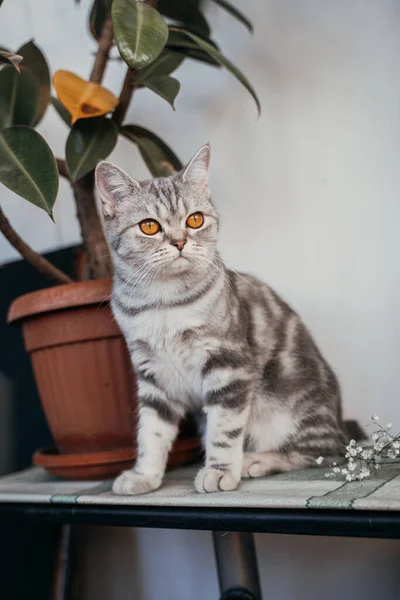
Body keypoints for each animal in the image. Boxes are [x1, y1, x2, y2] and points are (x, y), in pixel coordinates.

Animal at [95, 143, 346, 494]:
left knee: (325, 451)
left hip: (293, 410)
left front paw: (219, 471)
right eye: (149, 226)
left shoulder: (228, 364)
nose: (180, 241)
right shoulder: (152, 375)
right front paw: (144, 474)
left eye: (195, 219)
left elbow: (224, 429)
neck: (163, 304)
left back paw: (257, 460)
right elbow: (152, 432)